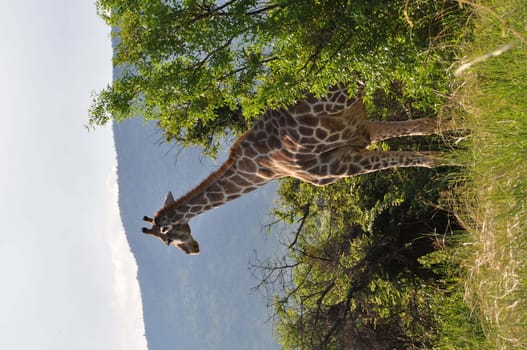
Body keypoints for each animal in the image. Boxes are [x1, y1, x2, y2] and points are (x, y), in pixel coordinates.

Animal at [141, 85, 454, 254]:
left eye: (168, 239)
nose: (194, 249)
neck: (266, 170)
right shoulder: (363, 134)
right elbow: (428, 127)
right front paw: (461, 139)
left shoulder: (339, 166)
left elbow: (427, 159)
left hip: (344, 91)